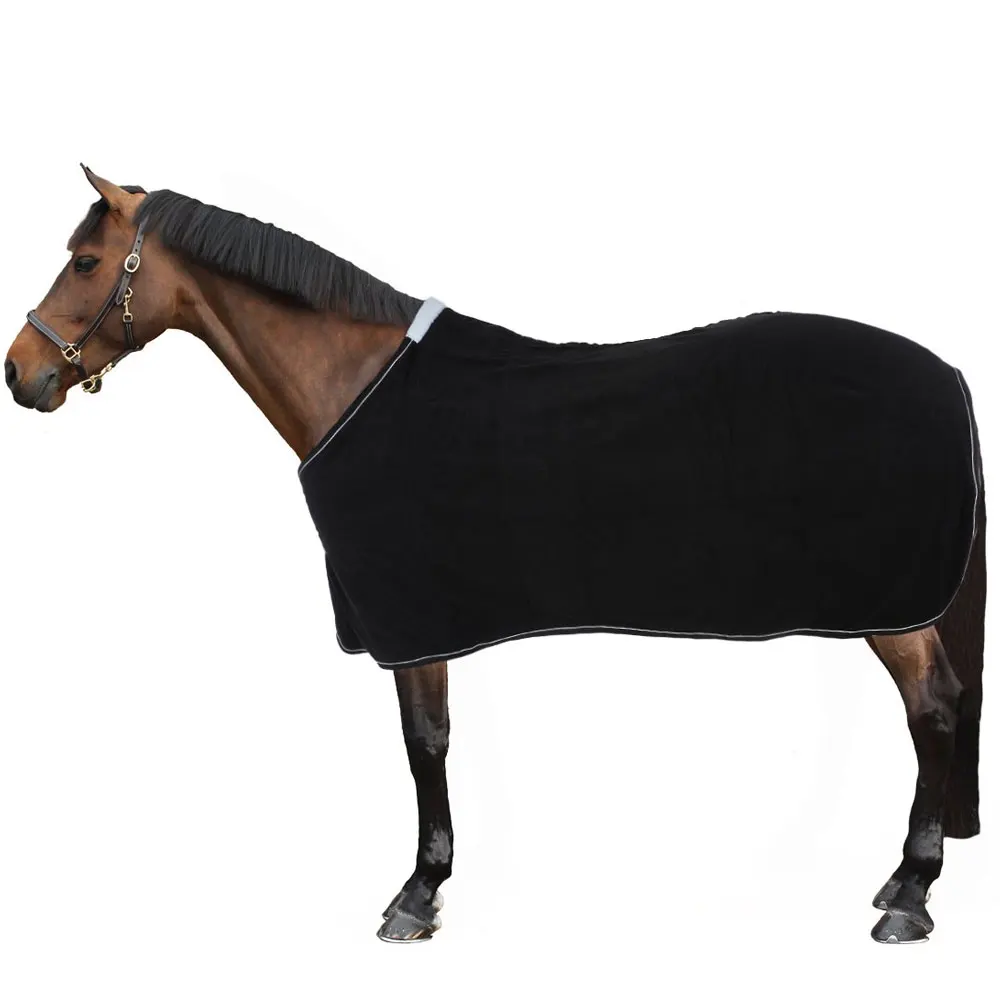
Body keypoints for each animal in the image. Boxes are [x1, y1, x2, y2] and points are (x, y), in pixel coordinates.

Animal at [5, 166, 985, 945]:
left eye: (85, 262)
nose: (20, 373)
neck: (357, 383)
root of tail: (948, 376)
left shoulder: (410, 615)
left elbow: (425, 743)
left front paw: (418, 893)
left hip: (895, 606)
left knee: (934, 708)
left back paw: (910, 896)